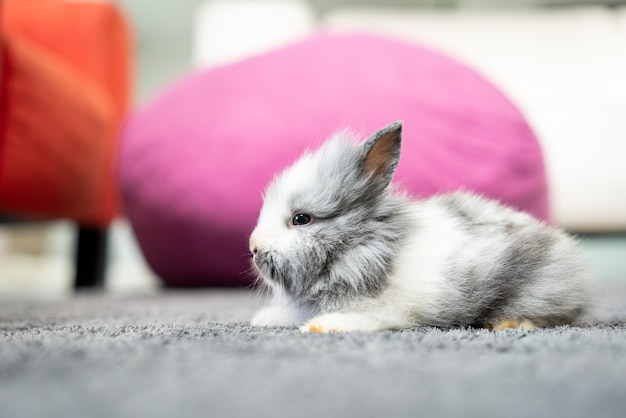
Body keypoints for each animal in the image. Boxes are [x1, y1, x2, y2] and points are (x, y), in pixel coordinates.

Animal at [247, 121, 596, 334]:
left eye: (301, 219)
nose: (252, 247)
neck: (361, 249)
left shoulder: (389, 312)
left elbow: (362, 318)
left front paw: (319, 326)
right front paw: (263, 319)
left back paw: (510, 325)